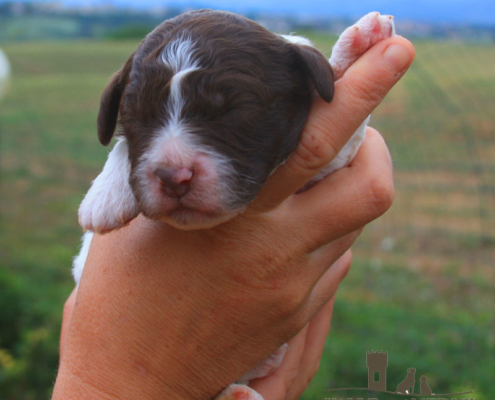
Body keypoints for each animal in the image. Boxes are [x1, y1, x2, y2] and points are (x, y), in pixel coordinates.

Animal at [72, 10, 396, 400]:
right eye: (136, 117)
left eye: (232, 111)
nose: (174, 177)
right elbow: (121, 146)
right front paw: (104, 195)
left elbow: (342, 127)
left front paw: (359, 44)